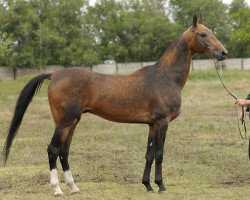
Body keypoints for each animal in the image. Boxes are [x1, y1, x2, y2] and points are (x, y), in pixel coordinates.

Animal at [3, 15, 227, 195]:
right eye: (203, 34)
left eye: (211, 32)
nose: (223, 53)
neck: (165, 77)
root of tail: (55, 74)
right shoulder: (162, 123)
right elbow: (160, 154)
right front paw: (161, 186)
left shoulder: (152, 125)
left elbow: (149, 155)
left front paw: (147, 185)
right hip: (64, 122)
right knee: (53, 150)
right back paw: (57, 189)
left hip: (73, 122)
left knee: (64, 151)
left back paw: (74, 187)